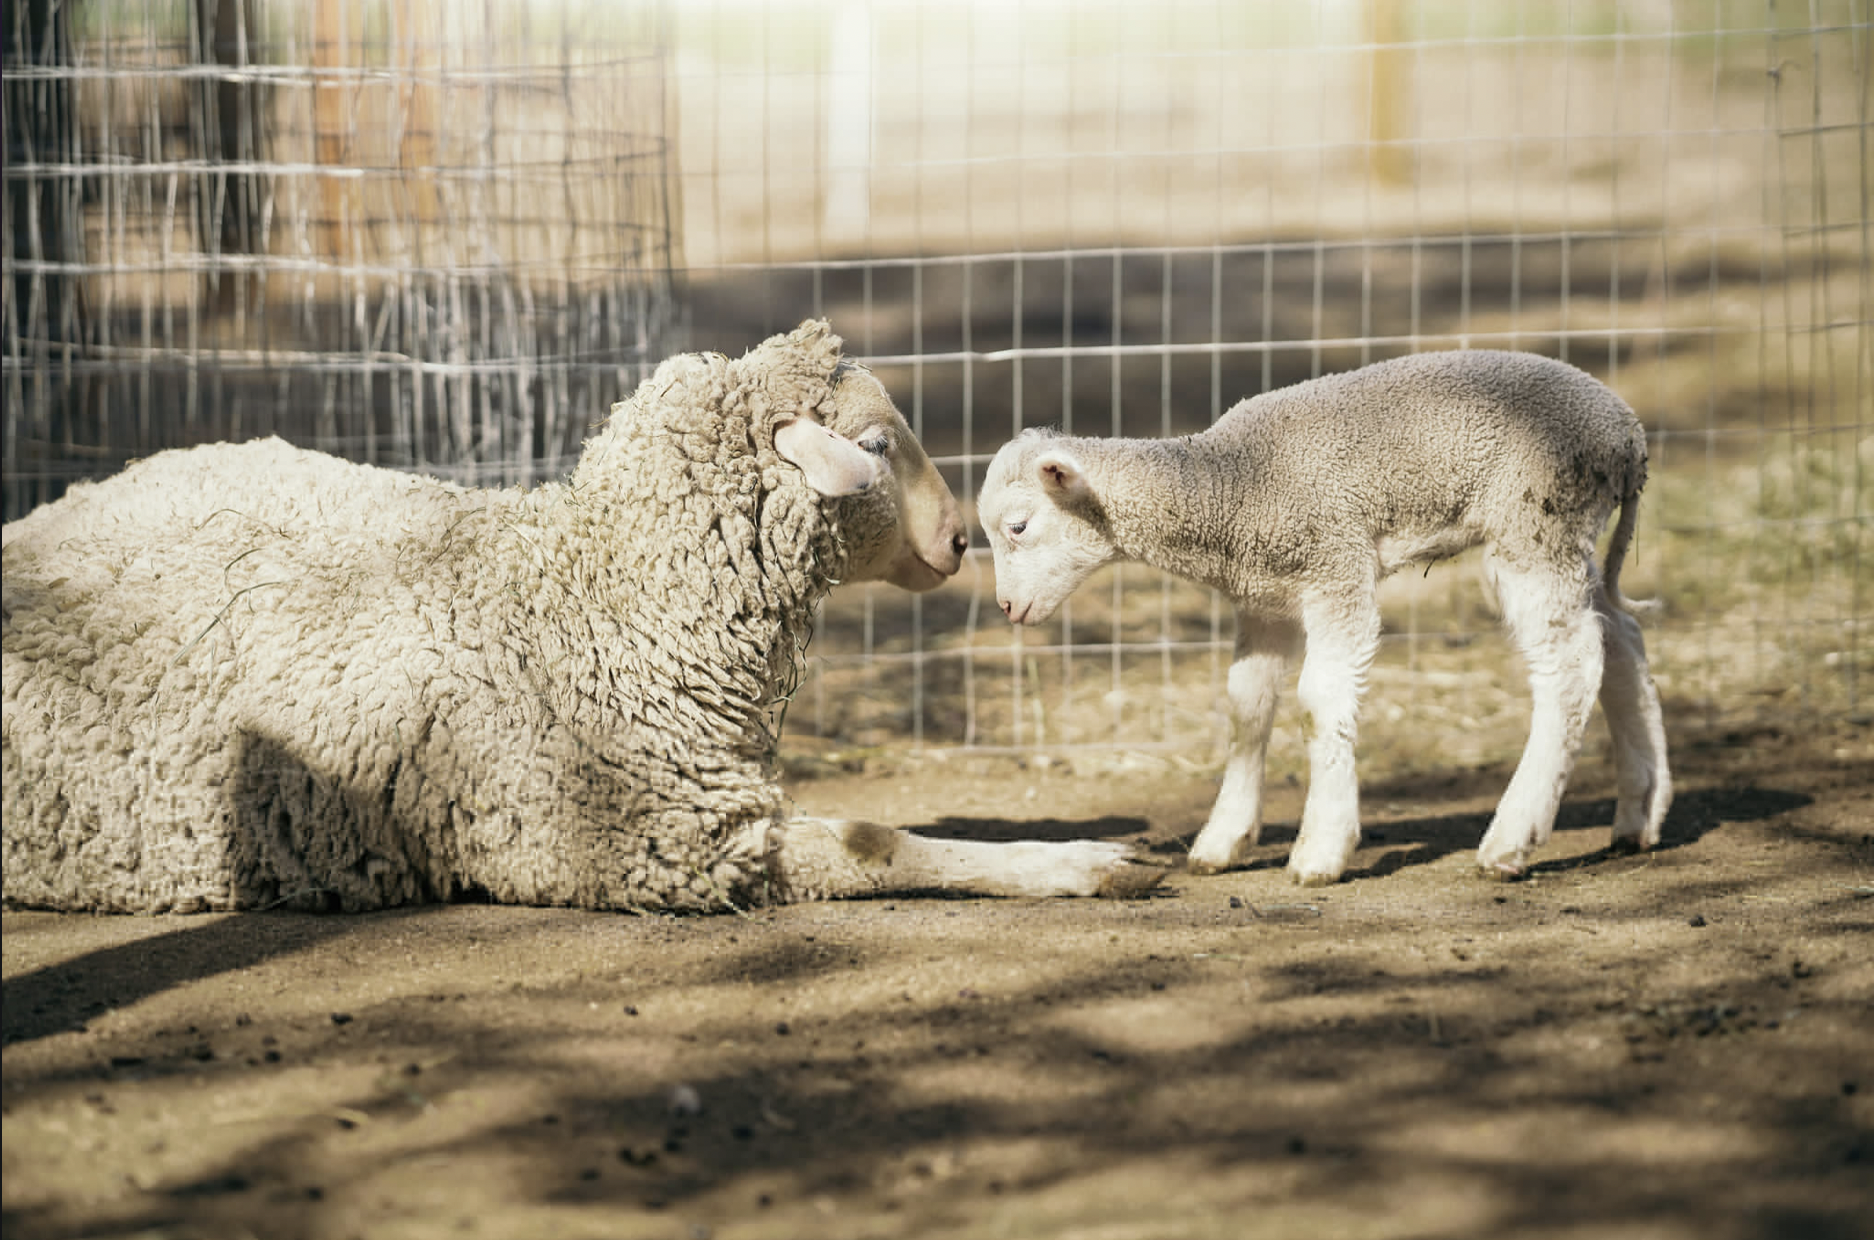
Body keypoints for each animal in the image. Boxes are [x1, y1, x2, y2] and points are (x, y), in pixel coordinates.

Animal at [2, 320, 1161, 914]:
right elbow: (875, 840)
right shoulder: (651, 836)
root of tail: (42, 517)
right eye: (876, 446)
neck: (590, 598)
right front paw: (1080, 865)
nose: (960, 541)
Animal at [978, 349, 1673, 885]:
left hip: (1533, 521)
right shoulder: (1265, 599)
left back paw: (1511, 841)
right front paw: (1223, 841)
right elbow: (1247, 706)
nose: (1007, 608)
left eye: (1018, 527)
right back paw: (1640, 812)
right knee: (1620, 639)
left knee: (1571, 665)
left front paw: (1321, 850)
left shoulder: (1336, 570)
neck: (1230, 482)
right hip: (1570, 540)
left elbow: (1317, 704)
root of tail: (1629, 434)